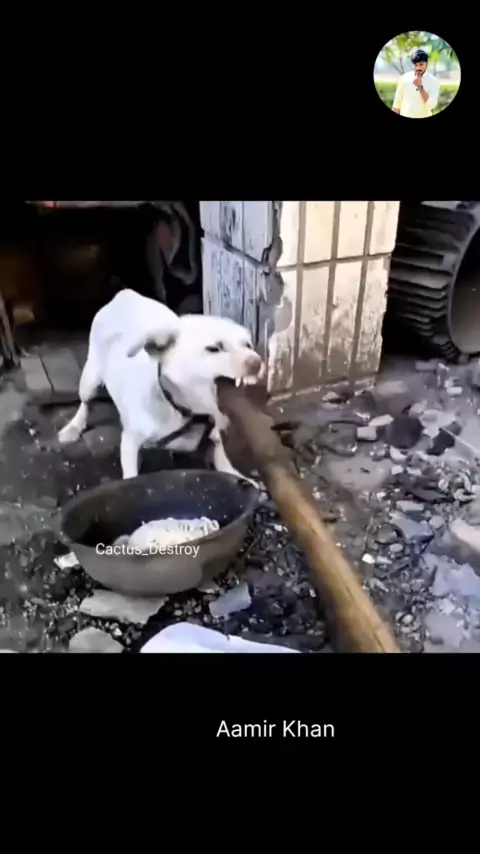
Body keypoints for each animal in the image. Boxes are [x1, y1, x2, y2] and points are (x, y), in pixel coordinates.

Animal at [57, 289, 265, 482]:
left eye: (247, 345)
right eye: (214, 348)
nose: (257, 362)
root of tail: (125, 294)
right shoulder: (130, 442)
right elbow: (131, 475)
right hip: (90, 378)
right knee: (85, 403)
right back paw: (73, 427)